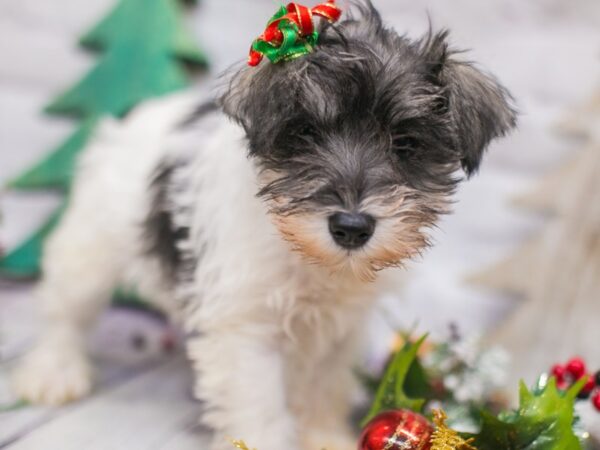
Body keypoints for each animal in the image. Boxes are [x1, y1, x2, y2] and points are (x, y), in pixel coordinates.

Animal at [12, 1, 516, 448]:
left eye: (406, 143)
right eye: (306, 134)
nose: (351, 226)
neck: (309, 258)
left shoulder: (345, 325)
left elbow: (325, 385)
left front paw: (325, 438)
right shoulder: (246, 329)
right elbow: (260, 406)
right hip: (90, 248)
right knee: (66, 310)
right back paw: (54, 372)